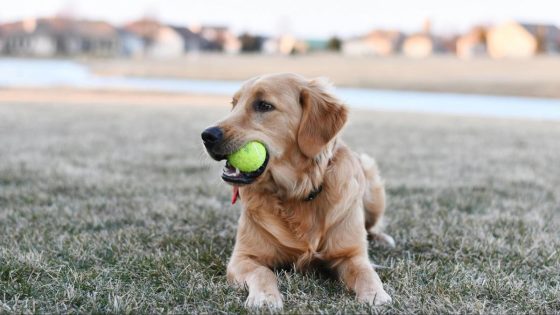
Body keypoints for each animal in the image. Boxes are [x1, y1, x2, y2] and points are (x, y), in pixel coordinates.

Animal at [201, 73, 394, 310]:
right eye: (234, 104)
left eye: (264, 105)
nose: (207, 135)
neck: (297, 192)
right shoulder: (243, 257)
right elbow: (263, 272)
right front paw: (265, 297)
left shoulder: (351, 255)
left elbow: (367, 273)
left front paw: (376, 295)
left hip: (371, 179)